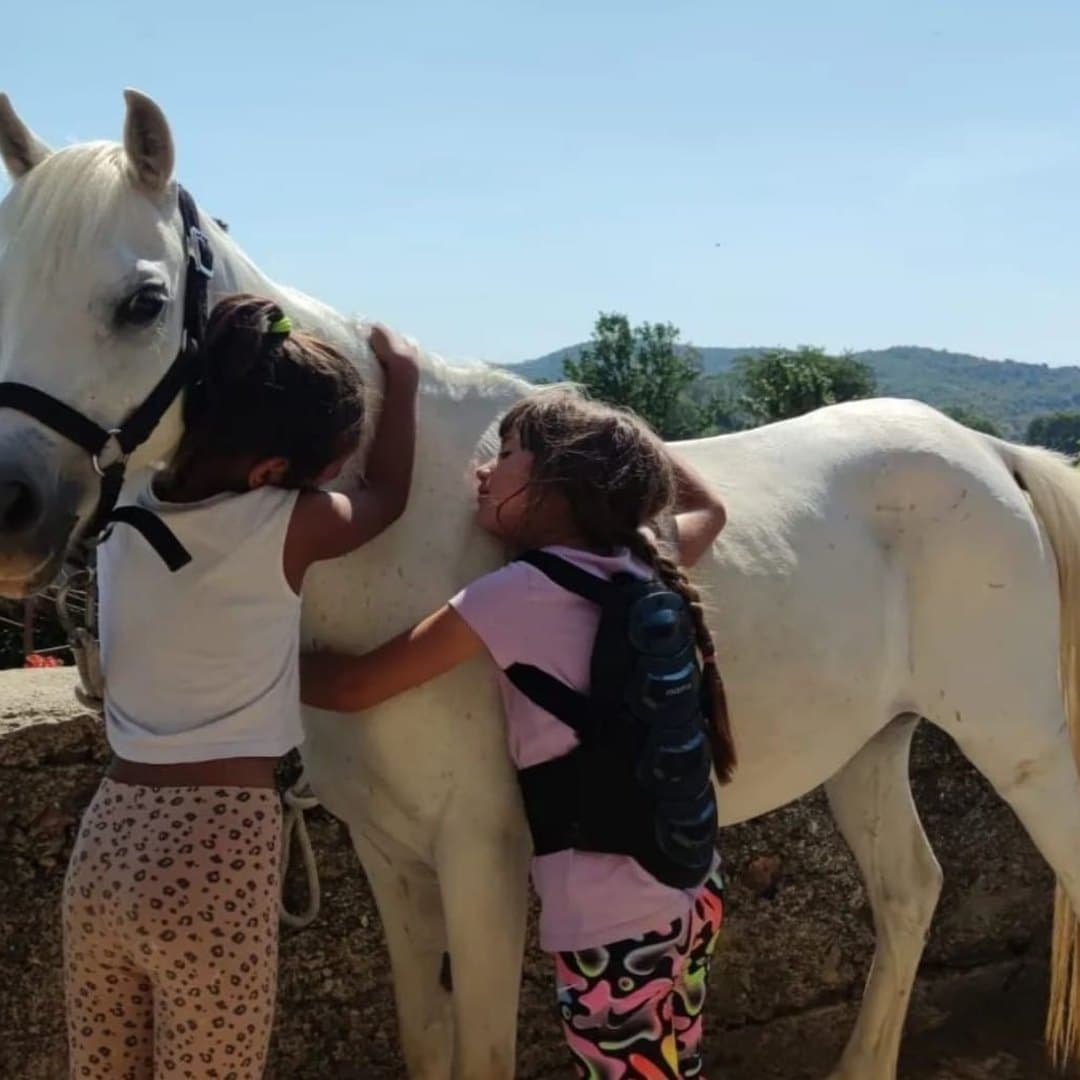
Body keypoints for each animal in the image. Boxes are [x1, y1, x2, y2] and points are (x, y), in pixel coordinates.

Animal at [1, 90, 1079, 1080]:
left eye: (142, 303)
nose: (13, 502)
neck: (390, 549)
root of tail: (985, 450)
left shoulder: (480, 855)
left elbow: (479, 1045)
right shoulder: (392, 856)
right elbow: (424, 1037)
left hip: (1016, 743)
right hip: (867, 745)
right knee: (909, 891)